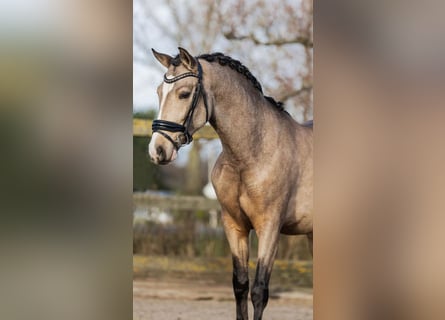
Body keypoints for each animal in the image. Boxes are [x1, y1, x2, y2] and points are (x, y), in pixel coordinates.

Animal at [147, 47, 310, 320]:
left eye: (184, 93)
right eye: (159, 92)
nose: (157, 150)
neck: (252, 152)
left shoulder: (269, 228)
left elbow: (259, 291)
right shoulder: (235, 226)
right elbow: (240, 285)